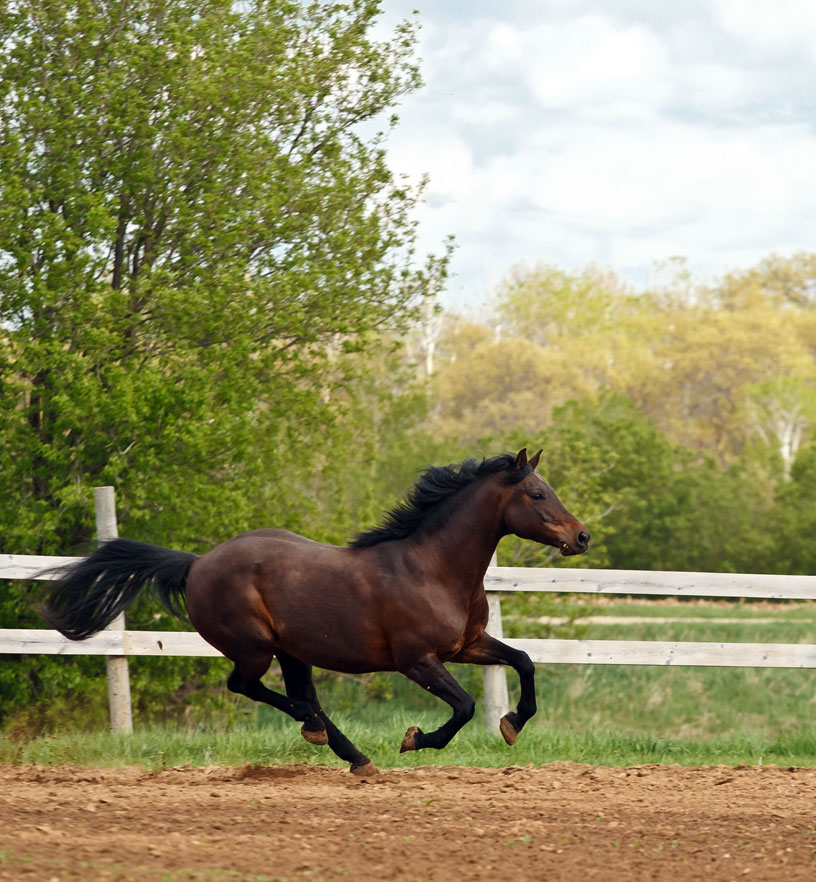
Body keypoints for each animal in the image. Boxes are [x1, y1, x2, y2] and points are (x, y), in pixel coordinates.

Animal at [41, 448, 589, 775]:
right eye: (537, 493)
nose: (581, 536)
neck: (431, 568)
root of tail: (196, 564)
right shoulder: (417, 660)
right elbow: (465, 707)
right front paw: (415, 739)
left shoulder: (467, 645)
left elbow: (524, 661)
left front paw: (513, 723)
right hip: (255, 647)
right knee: (250, 687)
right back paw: (318, 729)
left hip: (292, 651)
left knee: (299, 694)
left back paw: (352, 754)